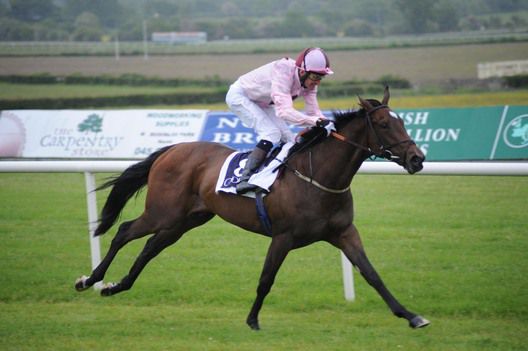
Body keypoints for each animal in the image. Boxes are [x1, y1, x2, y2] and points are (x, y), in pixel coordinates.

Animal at [74, 87, 428, 330]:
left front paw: (411, 316)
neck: (318, 178)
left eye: (402, 121)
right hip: (164, 212)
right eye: (383, 124)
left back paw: (116, 287)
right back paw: (91, 281)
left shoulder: (344, 232)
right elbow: (266, 279)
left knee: (149, 247)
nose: (417, 159)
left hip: (184, 221)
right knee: (124, 232)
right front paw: (253, 319)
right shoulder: (283, 237)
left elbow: (371, 273)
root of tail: (173, 149)